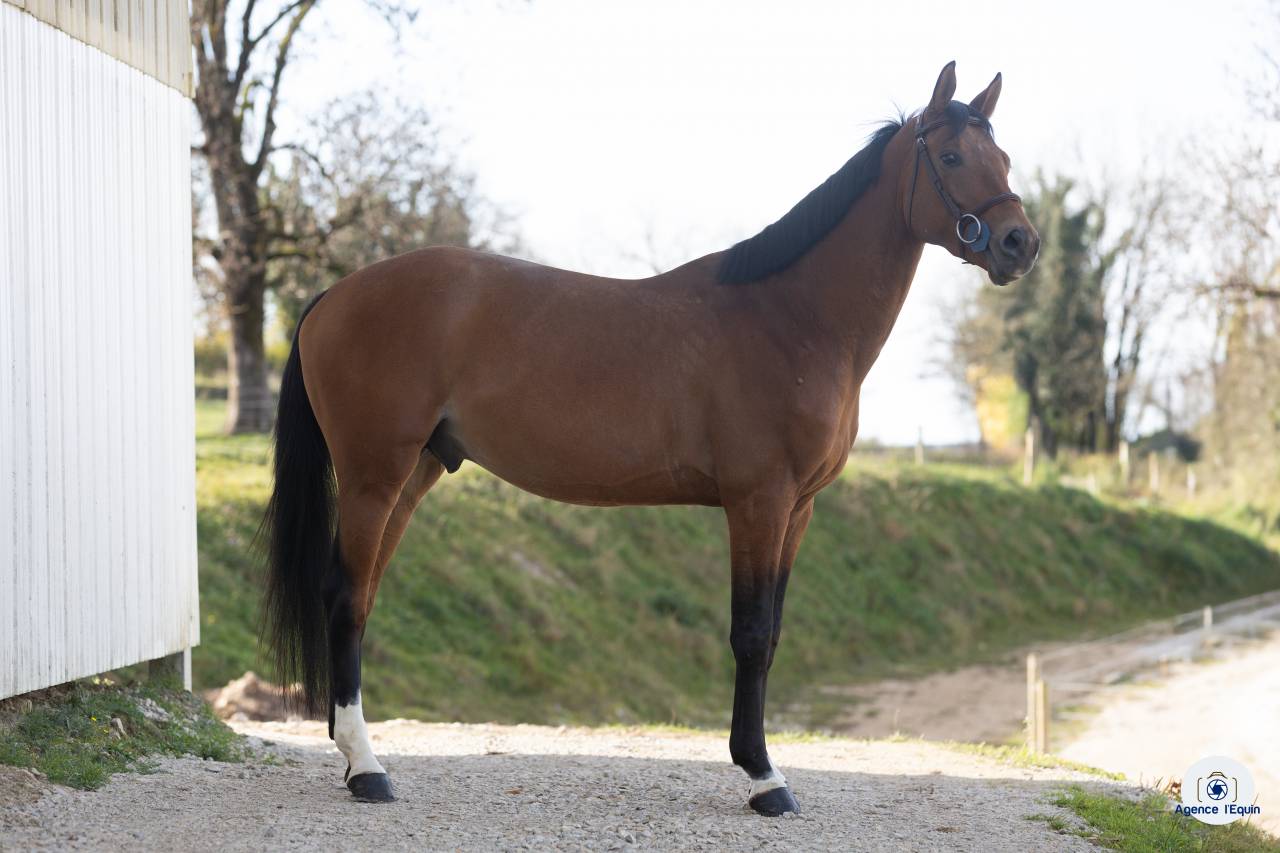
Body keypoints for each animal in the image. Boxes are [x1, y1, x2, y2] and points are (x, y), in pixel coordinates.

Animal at [262, 61, 1039, 815]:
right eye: (950, 156)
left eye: (1003, 156)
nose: (1019, 244)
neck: (791, 318)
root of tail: (333, 295)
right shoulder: (758, 502)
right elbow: (749, 635)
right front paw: (763, 776)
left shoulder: (799, 508)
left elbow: (772, 633)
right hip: (374, 474)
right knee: (346, 595)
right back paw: (368, 768)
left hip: (415, 471)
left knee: (362, 596)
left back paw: (353, 756)